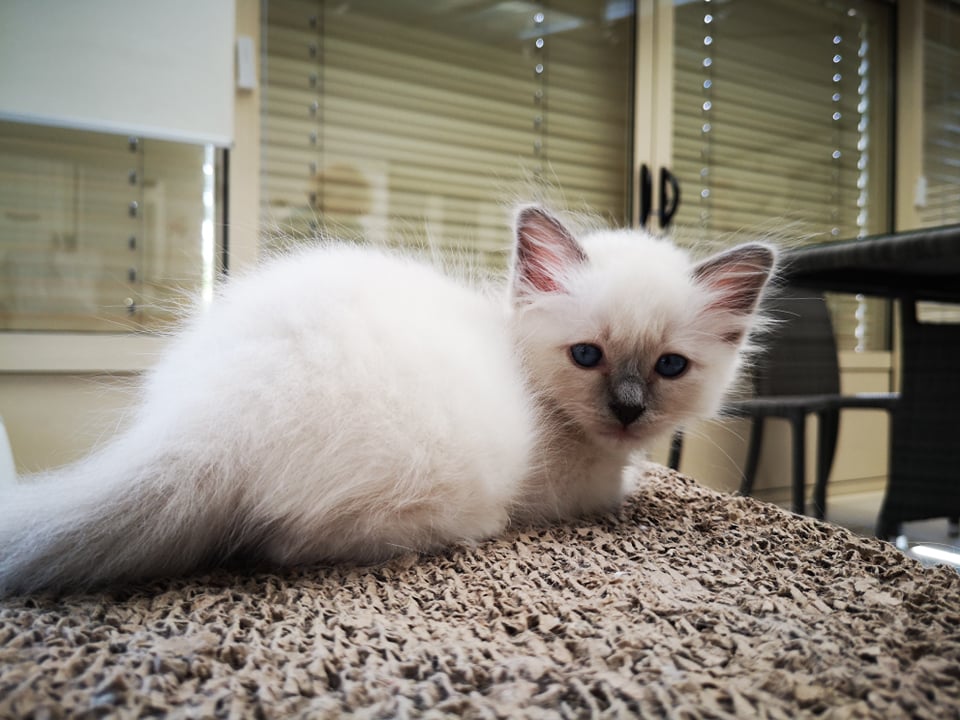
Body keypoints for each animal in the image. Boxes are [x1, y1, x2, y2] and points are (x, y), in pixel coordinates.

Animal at [0, 205, 775, 596]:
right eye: (588, 356)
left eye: (670, 367)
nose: (629, 409)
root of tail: (205, 420)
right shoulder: (575, 490)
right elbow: (623, 486)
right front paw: (636, 476)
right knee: (283, 543)